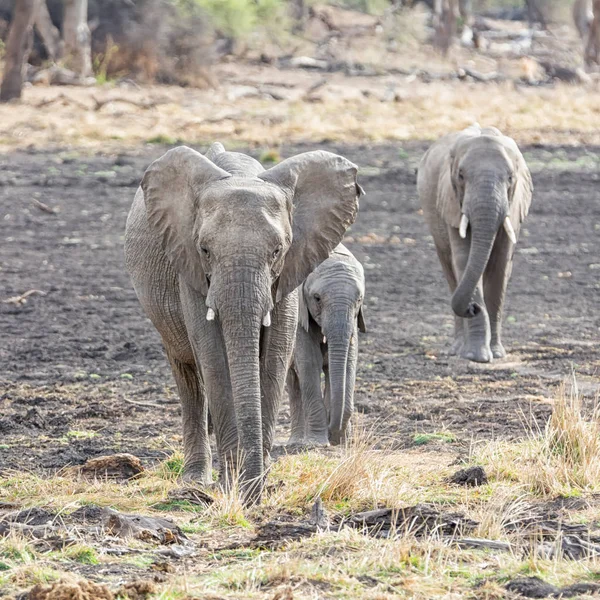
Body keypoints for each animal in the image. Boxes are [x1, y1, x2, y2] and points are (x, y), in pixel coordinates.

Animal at [286, 243, 366, 446]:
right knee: (293, 383)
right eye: (317, 298)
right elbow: (309, 363)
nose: (332, 431)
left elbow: (347, 363)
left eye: (359, 299)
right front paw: (318, 442)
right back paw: (297, 441)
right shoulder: (299, 318)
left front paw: (341, 441)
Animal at [418, 124, 536, 364]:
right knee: (450, 271)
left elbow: (501, 266)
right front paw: (476, 356)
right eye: (461, 176)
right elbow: (463, 258)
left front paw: (497, 354)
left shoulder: (514, 207)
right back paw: (457, 349)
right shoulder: (452, 203)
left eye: (511, 177)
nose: (472, 308)